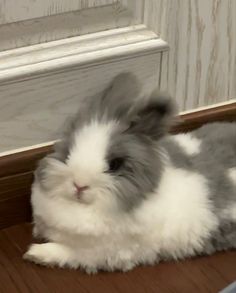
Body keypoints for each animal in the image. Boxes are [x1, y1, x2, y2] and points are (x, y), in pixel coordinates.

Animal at [24, 72, 236, 272]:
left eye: (115, 164)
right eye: (68, 152)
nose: (79, 185)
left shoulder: (102, 252)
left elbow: (68, 252)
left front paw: (35, 253)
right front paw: (37, 232)